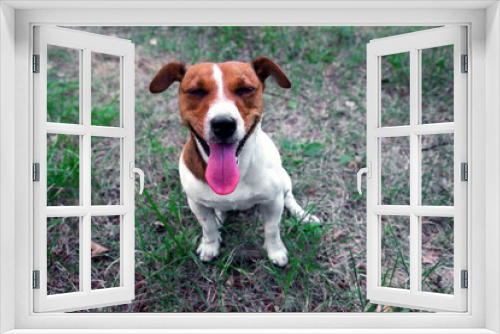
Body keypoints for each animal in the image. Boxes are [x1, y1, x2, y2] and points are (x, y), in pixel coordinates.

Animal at [150, 56, 318, 266]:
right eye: (196, 91)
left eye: (245, 89)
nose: (223, 124)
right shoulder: (196, 204)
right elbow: (208, 227)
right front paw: (210, 245)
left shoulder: (273, 201)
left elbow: (272, 229)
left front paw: (276, 251)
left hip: (285, 180)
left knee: (289, 197)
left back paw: (303, 216)